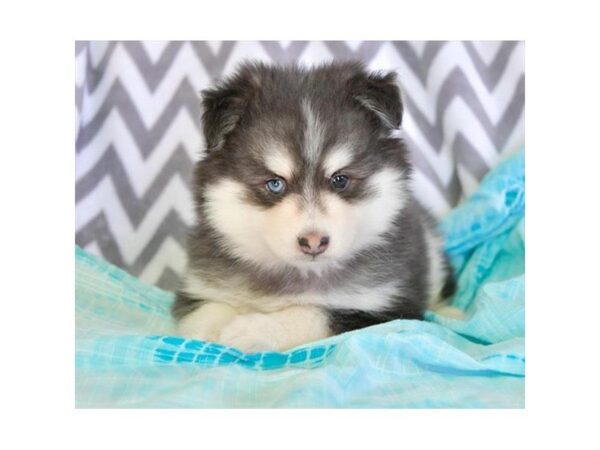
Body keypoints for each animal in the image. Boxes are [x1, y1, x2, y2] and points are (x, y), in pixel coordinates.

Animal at [171, 61, 458, 354]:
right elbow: (203, 311)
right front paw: (210, 329)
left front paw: (251, 329)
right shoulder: (199, 287)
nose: (314, 242)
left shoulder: (389, 305)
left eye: (340, 179)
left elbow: (315, 312)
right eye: (275, 184)